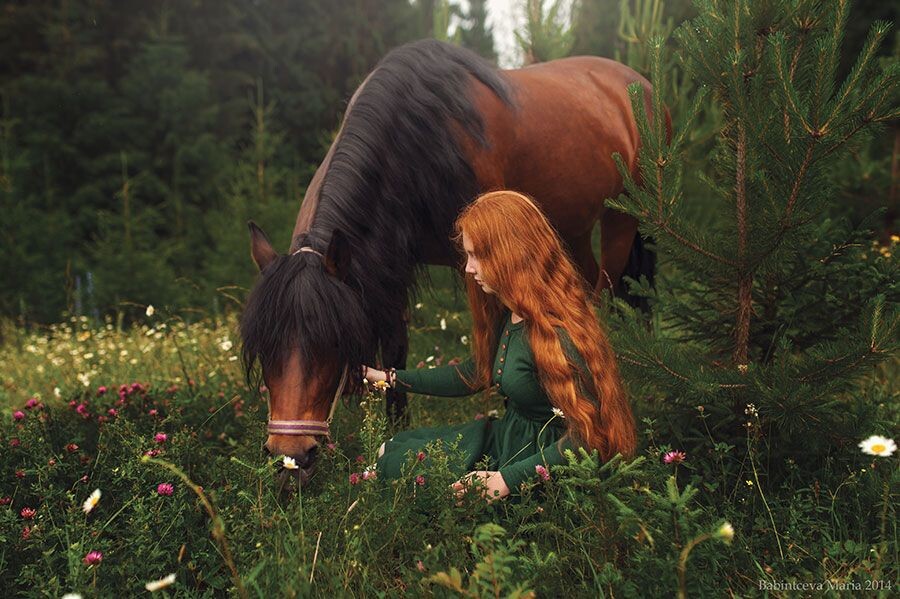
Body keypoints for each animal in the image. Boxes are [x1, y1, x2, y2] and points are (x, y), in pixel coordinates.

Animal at [239, 38, 660, 488]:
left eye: (333, 343)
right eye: (264, 347)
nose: (290, 458)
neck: (423, 138)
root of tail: (636, 83)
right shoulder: (390, 266)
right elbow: (396, 350)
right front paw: (394, 429)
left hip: (627, 218)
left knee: (610, 293)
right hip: (574, 227)